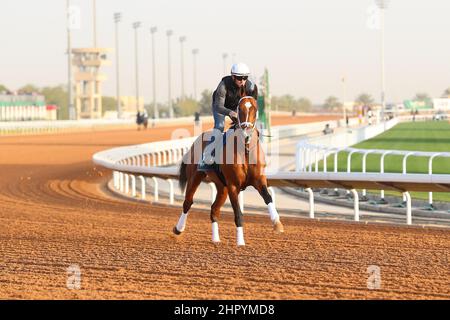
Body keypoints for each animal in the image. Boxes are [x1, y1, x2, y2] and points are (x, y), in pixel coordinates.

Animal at [173, 96, 284, 246]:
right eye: (239, 108)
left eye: (254, 108)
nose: (246, 131)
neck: (245, 149)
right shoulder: (233, 186)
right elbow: (238, 213)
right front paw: (241, 242)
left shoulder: (259, 180)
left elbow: (268, 197)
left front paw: (277, 223)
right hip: (195, 177)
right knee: (188, 202)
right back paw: (179, 228)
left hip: (221, 187)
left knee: (214, 209)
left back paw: (216, 239)